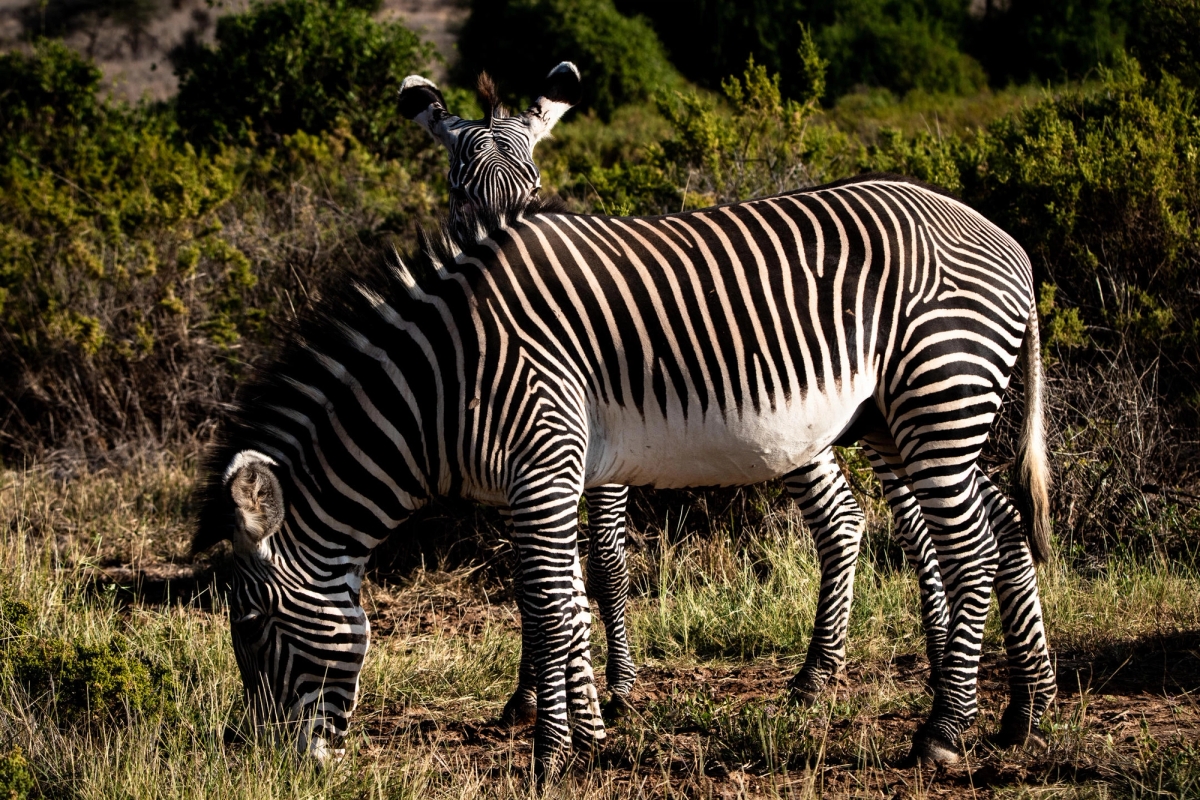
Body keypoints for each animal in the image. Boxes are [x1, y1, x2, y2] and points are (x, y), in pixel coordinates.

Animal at [193, 175, 1057, 778]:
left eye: (255, 626)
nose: (265, 763)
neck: (443, 381)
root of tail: (1004, 237)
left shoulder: (543, 459)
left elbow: (549, 607)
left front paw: (551, 755)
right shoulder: (545, 476)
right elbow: (562, 600)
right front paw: (589, 732)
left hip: (937, 392)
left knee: (973, 550)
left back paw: (943, 734)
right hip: (903, 415)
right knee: (1006, 526)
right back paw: (1025, 709)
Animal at [396, 66, 973, 729]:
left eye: (534, 188)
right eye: (458, 192)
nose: (504, 268)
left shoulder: (594, 453)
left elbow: (605, 563)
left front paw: (618, 686)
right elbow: (531, 575)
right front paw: (529, 696)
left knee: (895, 523)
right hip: (814, 429)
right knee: (850, 520)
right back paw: (868, 670)